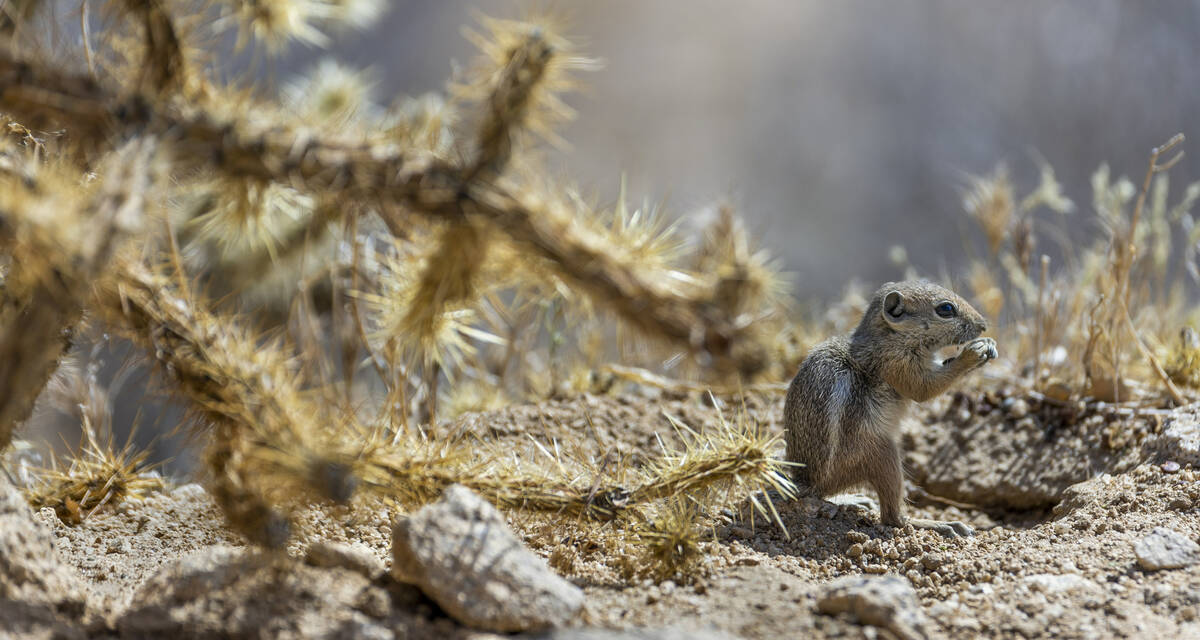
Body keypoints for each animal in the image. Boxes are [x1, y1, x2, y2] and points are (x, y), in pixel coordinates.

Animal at [782, 282, 998, 535]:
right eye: (946, 309)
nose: (983, 326)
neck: (890, 336)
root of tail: (807, 481)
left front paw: (989, 345)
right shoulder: (897, 363)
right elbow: (924, 389)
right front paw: (972, 354)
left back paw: (852, 499)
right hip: (882, 454)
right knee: (892, 517)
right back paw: (937, 524)